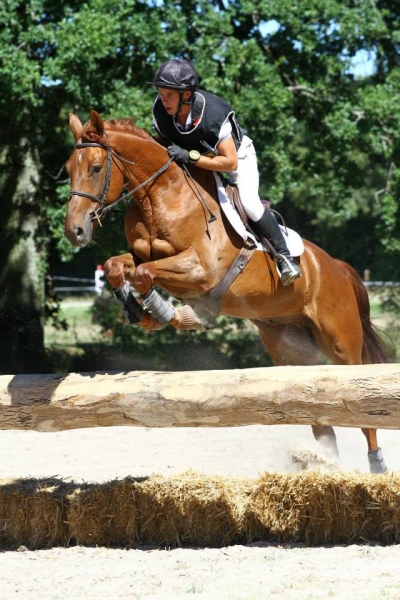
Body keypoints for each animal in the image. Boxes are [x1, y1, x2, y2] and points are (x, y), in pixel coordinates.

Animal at [65, 109, 390, 474]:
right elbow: (117, 267)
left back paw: (376, 466)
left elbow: (146, 275)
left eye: (95, 168)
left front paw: (169, 314)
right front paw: (140, 313)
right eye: (68, 168)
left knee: (361, 406)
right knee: (319, 416)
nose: (75, 231)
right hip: (289, 348)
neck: (161, 198)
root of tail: (336, 267)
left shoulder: (201, 271)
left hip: (341, 343)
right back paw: (324, 464)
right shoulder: (141, 256)